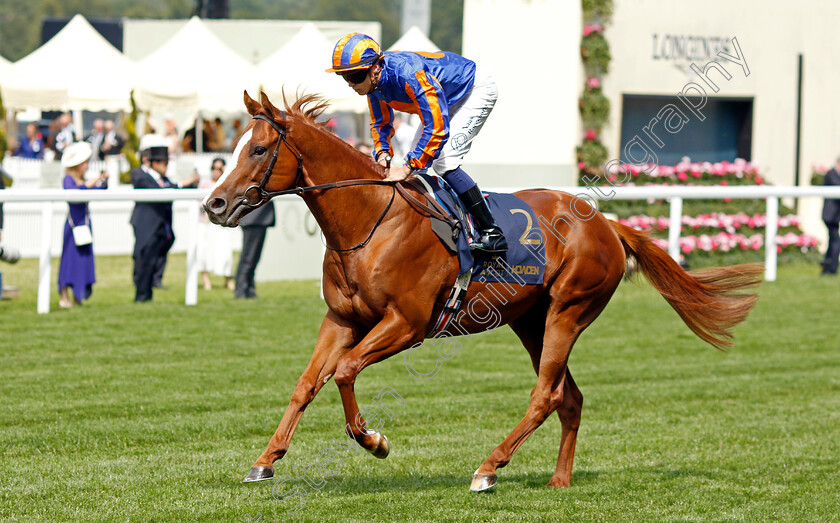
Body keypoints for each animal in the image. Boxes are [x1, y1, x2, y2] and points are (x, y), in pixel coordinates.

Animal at [203, 93, 760, 492]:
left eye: (257, 149)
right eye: (232, 148)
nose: (214, 204)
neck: (368, 223)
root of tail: (606, 223)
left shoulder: (406, 324)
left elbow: (343, 372)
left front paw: (375, 441)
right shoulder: (342, 320)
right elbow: (306, 383)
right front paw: (265, 461)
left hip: (569, 310)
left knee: (545, 394)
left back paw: (488, 467)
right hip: (530, 321)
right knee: (570, 397)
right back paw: (559, 480)